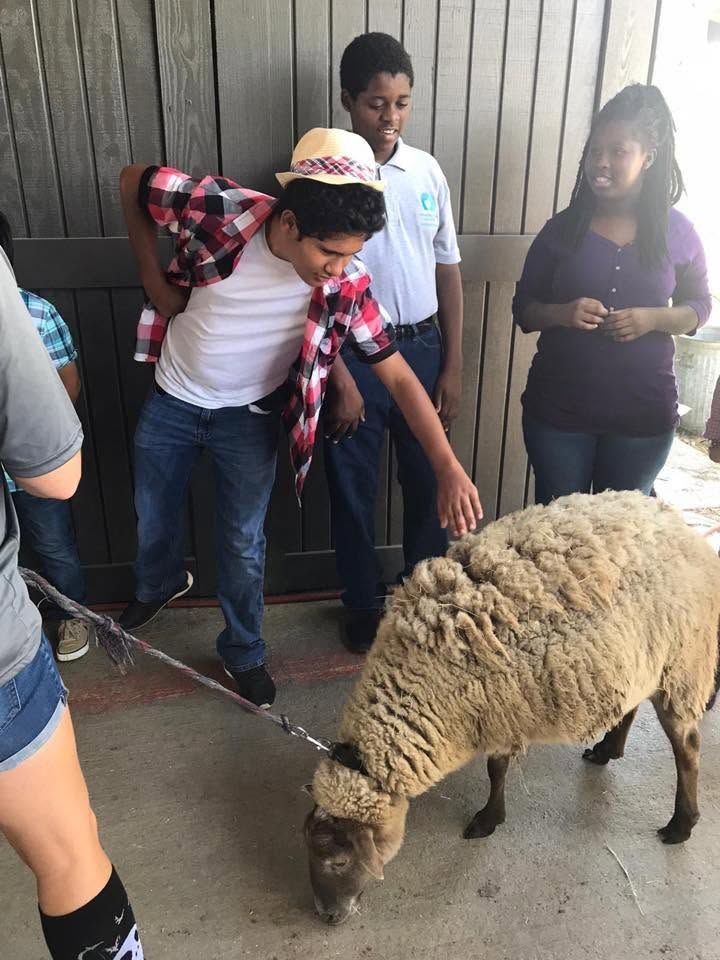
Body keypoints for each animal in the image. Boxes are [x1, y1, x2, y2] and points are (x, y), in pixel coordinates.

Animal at [304, 490, 720, 924]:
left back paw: (681, 824)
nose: (325, 914)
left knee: (688, 747)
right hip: (641, 657)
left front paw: (488, 820)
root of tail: (680, 525)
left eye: (338, 861)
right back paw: (608, 749)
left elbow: (496, 769)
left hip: (682, 661)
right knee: (631, 706)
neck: (417, 681)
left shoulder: (500, 710)